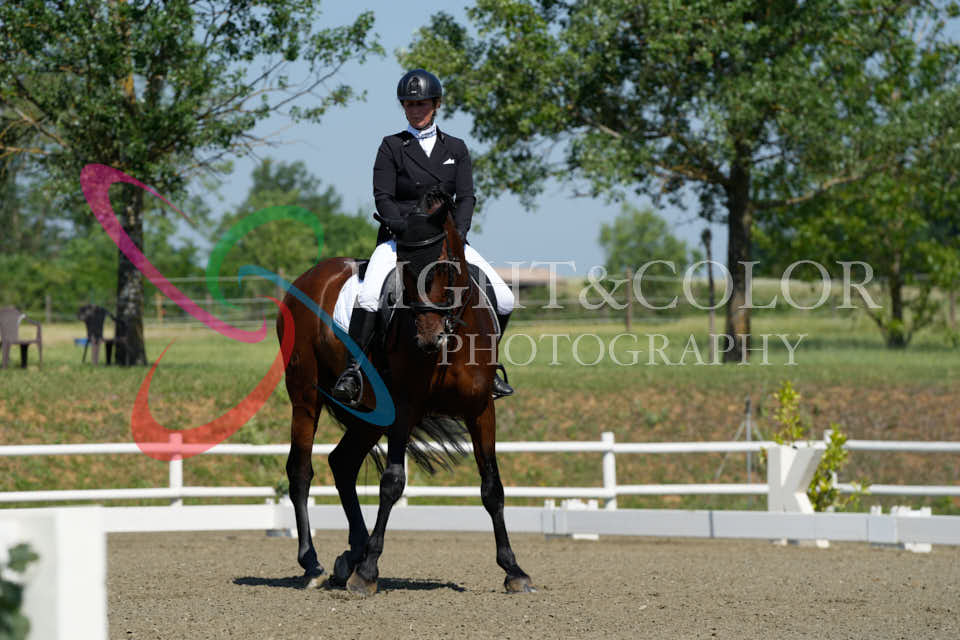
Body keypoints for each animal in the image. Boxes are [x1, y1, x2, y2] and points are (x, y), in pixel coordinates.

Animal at [276, 186, 535, 595]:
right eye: (403, 270)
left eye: (445, 267)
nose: (428, 338)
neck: (450, 341)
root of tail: (306, 280)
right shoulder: (406, 407)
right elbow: (392, 483)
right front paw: (368, 573)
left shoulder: (480, 409)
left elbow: (492, 486)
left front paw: (514, 570)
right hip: (305, 396)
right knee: (301, 470)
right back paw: (313, 563)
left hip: (370, 414)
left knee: (342, 463)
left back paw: (350, 555)